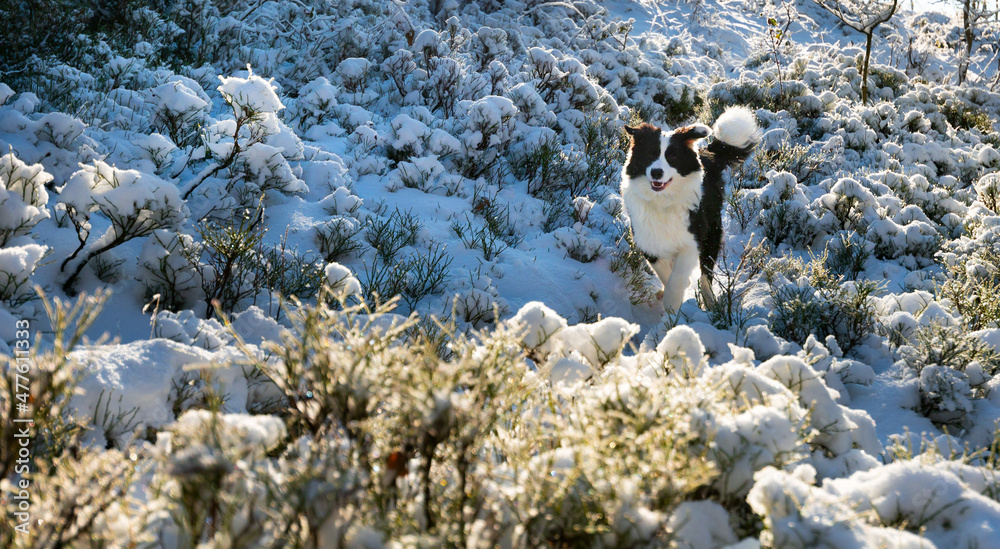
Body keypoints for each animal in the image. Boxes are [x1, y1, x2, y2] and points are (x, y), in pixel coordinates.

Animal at [620, 106, 760, 312]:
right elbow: (664, 272)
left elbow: (677, 277)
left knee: (706, 275)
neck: (663, 201)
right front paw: (669, 294)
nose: (656, 172)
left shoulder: (693, 239)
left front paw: (672, 305)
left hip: (712, 232)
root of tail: (706, 154)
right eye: (650, 155)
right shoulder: (648, 240)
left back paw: (710, 303)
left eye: (672, 157)